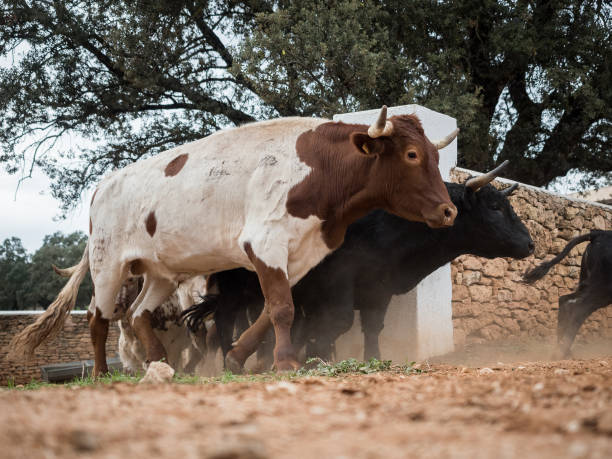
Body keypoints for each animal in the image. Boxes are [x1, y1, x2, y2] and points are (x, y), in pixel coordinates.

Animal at [9, 108, 456, 374]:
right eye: (412, 155)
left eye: (435, 157)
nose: (449, 211)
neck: (317, 167)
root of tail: (105, 185)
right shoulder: (266, 245)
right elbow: (282, 310)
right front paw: (284, 362)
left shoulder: (299, 256)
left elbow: (271, 311)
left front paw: (239, 357)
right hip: (109, 265)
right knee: (98, 319)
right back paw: (103, 373)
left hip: (161, 274)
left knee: (138, 314)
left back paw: (158, 361)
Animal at [183, 180, 536, 370]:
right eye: (494, 207)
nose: (530, 243)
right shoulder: (337, 284)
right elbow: (335, 323)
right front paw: (315, 356)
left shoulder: (377, 288)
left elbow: (371, 326)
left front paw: (370, 358)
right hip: (232, 287)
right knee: (223, 321)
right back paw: (225, 360)